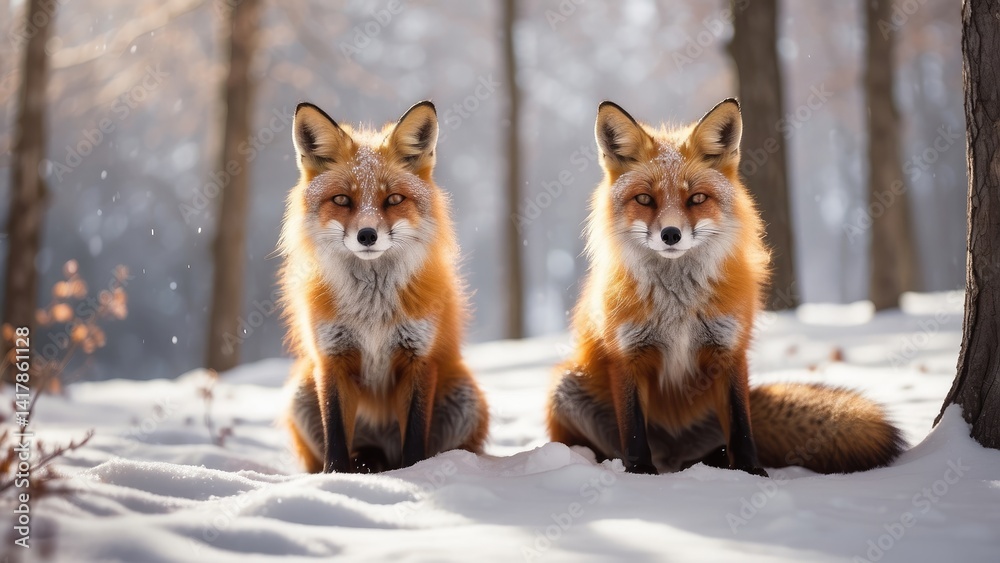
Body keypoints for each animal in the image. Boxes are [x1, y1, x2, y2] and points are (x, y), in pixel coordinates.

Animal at [280, 100, 489, 473]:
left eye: (393, 199)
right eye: (342, 200)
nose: (367, 235)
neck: (372, 308)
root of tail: (383, 452)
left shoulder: (419, 358)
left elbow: (415, 436)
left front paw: (415, 473)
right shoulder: (332, 358)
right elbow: (336, 433)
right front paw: (334, 477)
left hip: (465, 398)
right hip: (300, 391)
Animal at [547, 99, 904, 476]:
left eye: (696, 198)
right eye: (644, 200)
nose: (671, 234)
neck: (678, 306)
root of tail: (673, 456)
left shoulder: (728, 350)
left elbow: (740, 426)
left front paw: (750, 472)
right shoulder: (627, 356)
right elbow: (633, 432)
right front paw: (640, 474)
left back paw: (715, 465)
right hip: (565, 387)